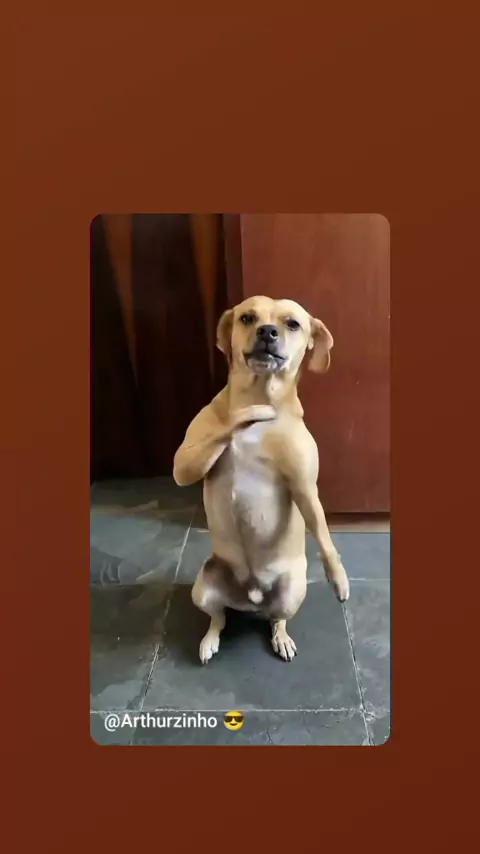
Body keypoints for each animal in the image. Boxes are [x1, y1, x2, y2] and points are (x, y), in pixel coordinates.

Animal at [173, 296, 349, 664]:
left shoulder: (305, 488)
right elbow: (228, 425)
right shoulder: (183, 464)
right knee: (219, 618)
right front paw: (245, 415)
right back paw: (209, 641)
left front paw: (338, 578)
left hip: (292, 592)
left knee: (276, 619)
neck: (260, 393)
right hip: (205, 587)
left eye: (293, 323)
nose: (267, 331)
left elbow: (324, 534)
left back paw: (281, 638)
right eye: (247, 317)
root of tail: (251, 598)